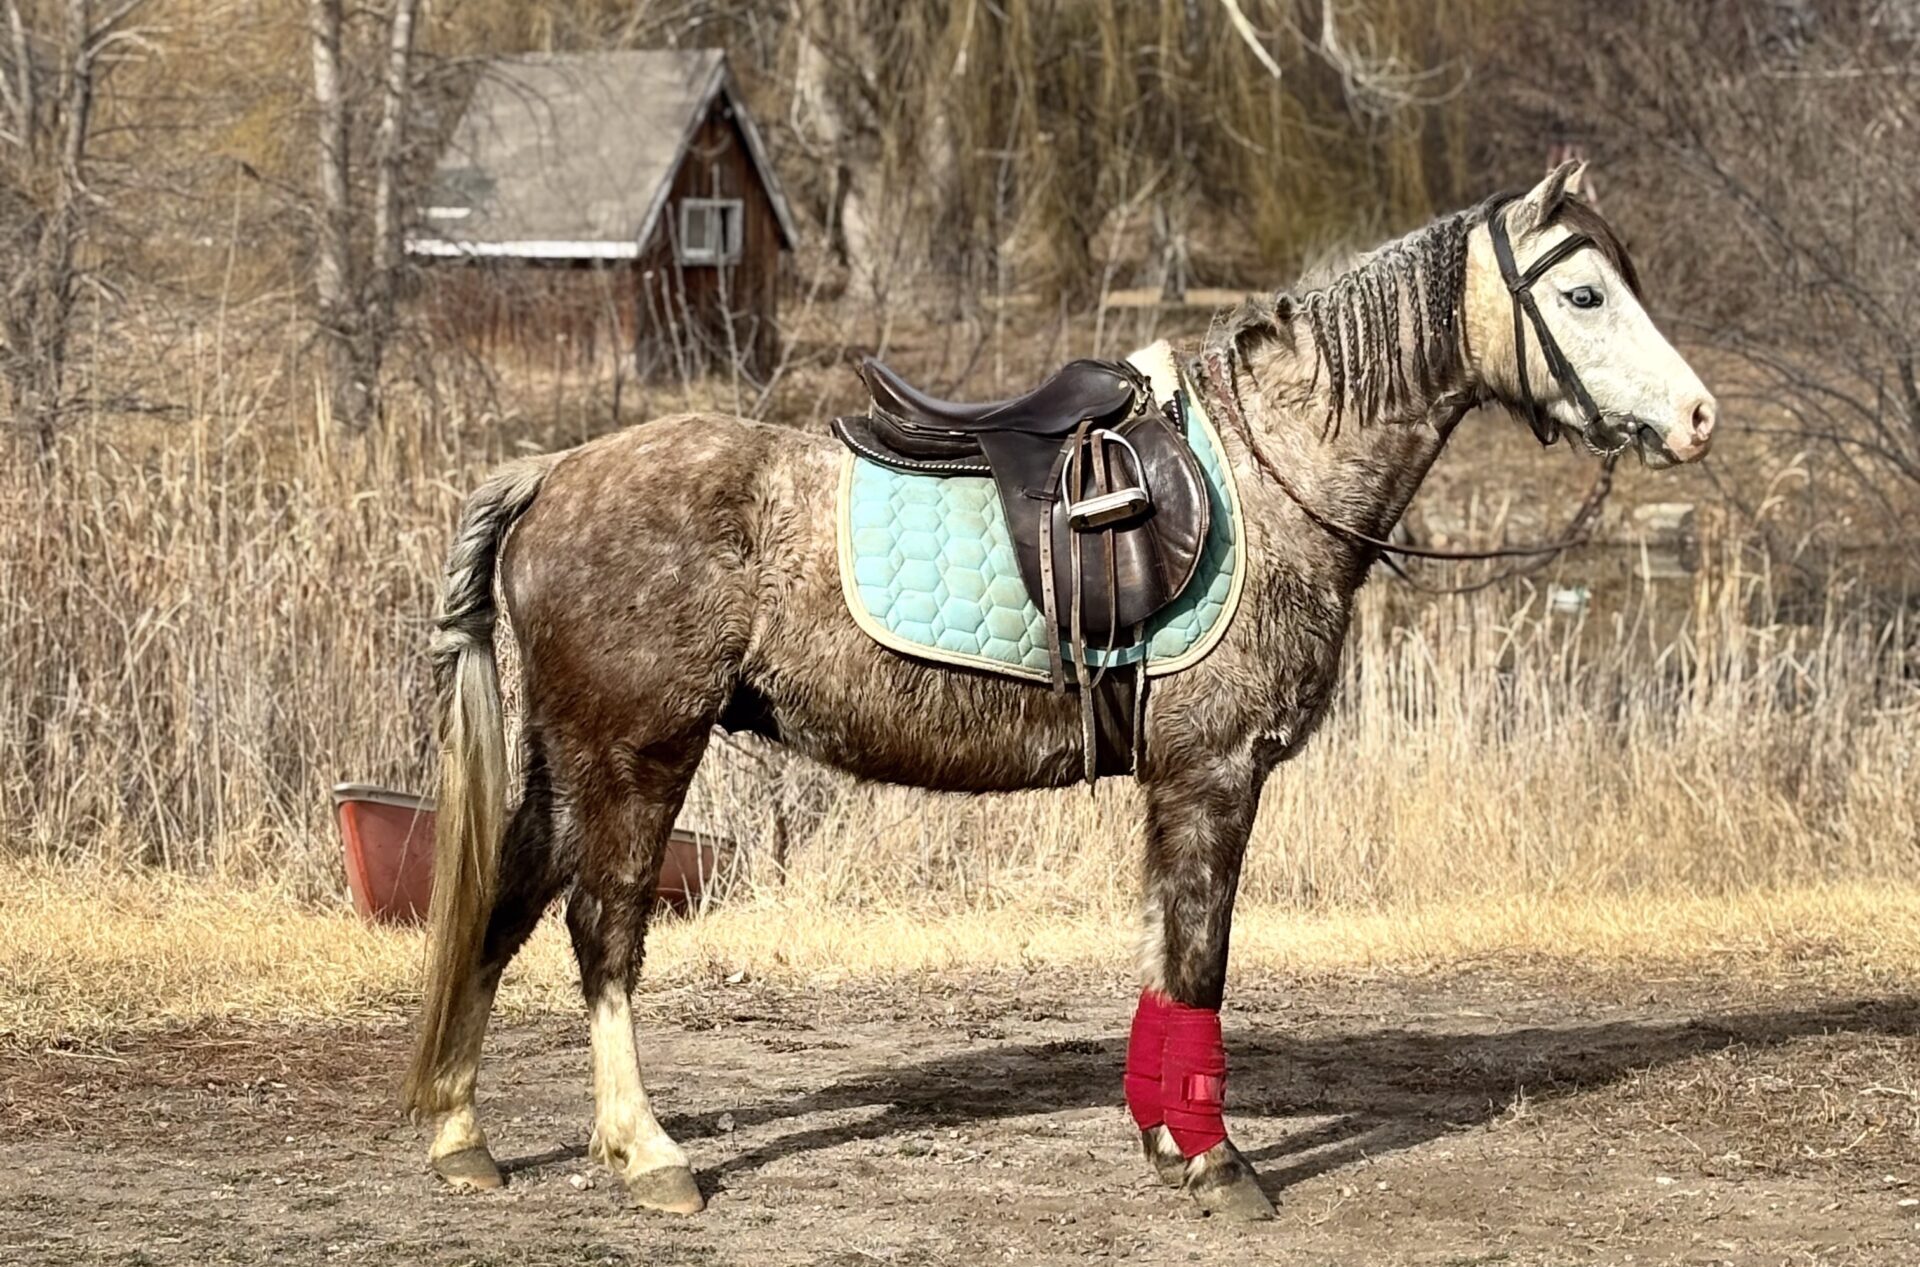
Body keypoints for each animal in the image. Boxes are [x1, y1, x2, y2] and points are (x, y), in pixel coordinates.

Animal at [401, 162, 1716, 1221]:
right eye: (1585, 296)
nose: (1699, 418)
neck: (1269, 476)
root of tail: (552, 470)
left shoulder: (1179, 783)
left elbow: (1164, 953)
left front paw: (1164, 1136)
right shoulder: (1216, 772)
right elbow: (1202, 957)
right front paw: (1217, 1162)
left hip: (563, 758)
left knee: (503, 906)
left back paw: (462, 1135)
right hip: (637, 754)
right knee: (603, 930)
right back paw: (648, 1152)